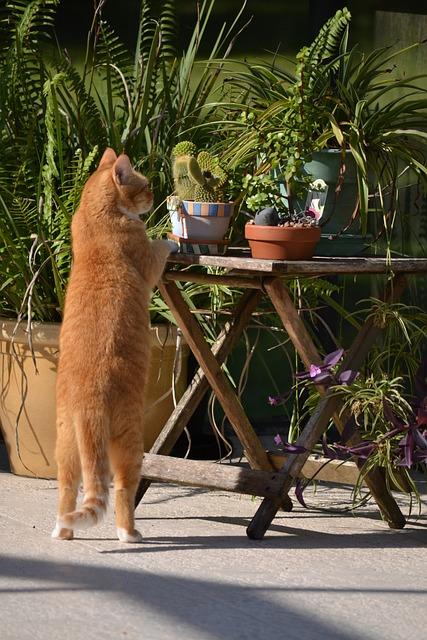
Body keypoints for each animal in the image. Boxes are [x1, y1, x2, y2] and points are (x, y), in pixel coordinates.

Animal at [52, 148, 176, 544]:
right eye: (146, 184)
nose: (155, 195)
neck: (95, 218)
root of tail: (87, 398)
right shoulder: (146, 260)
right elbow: (159, 248)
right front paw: (171, 236)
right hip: (131, 442)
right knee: (123, 490)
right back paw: (129, 533)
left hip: (66, 445)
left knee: (67, 488)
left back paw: (62, 531)